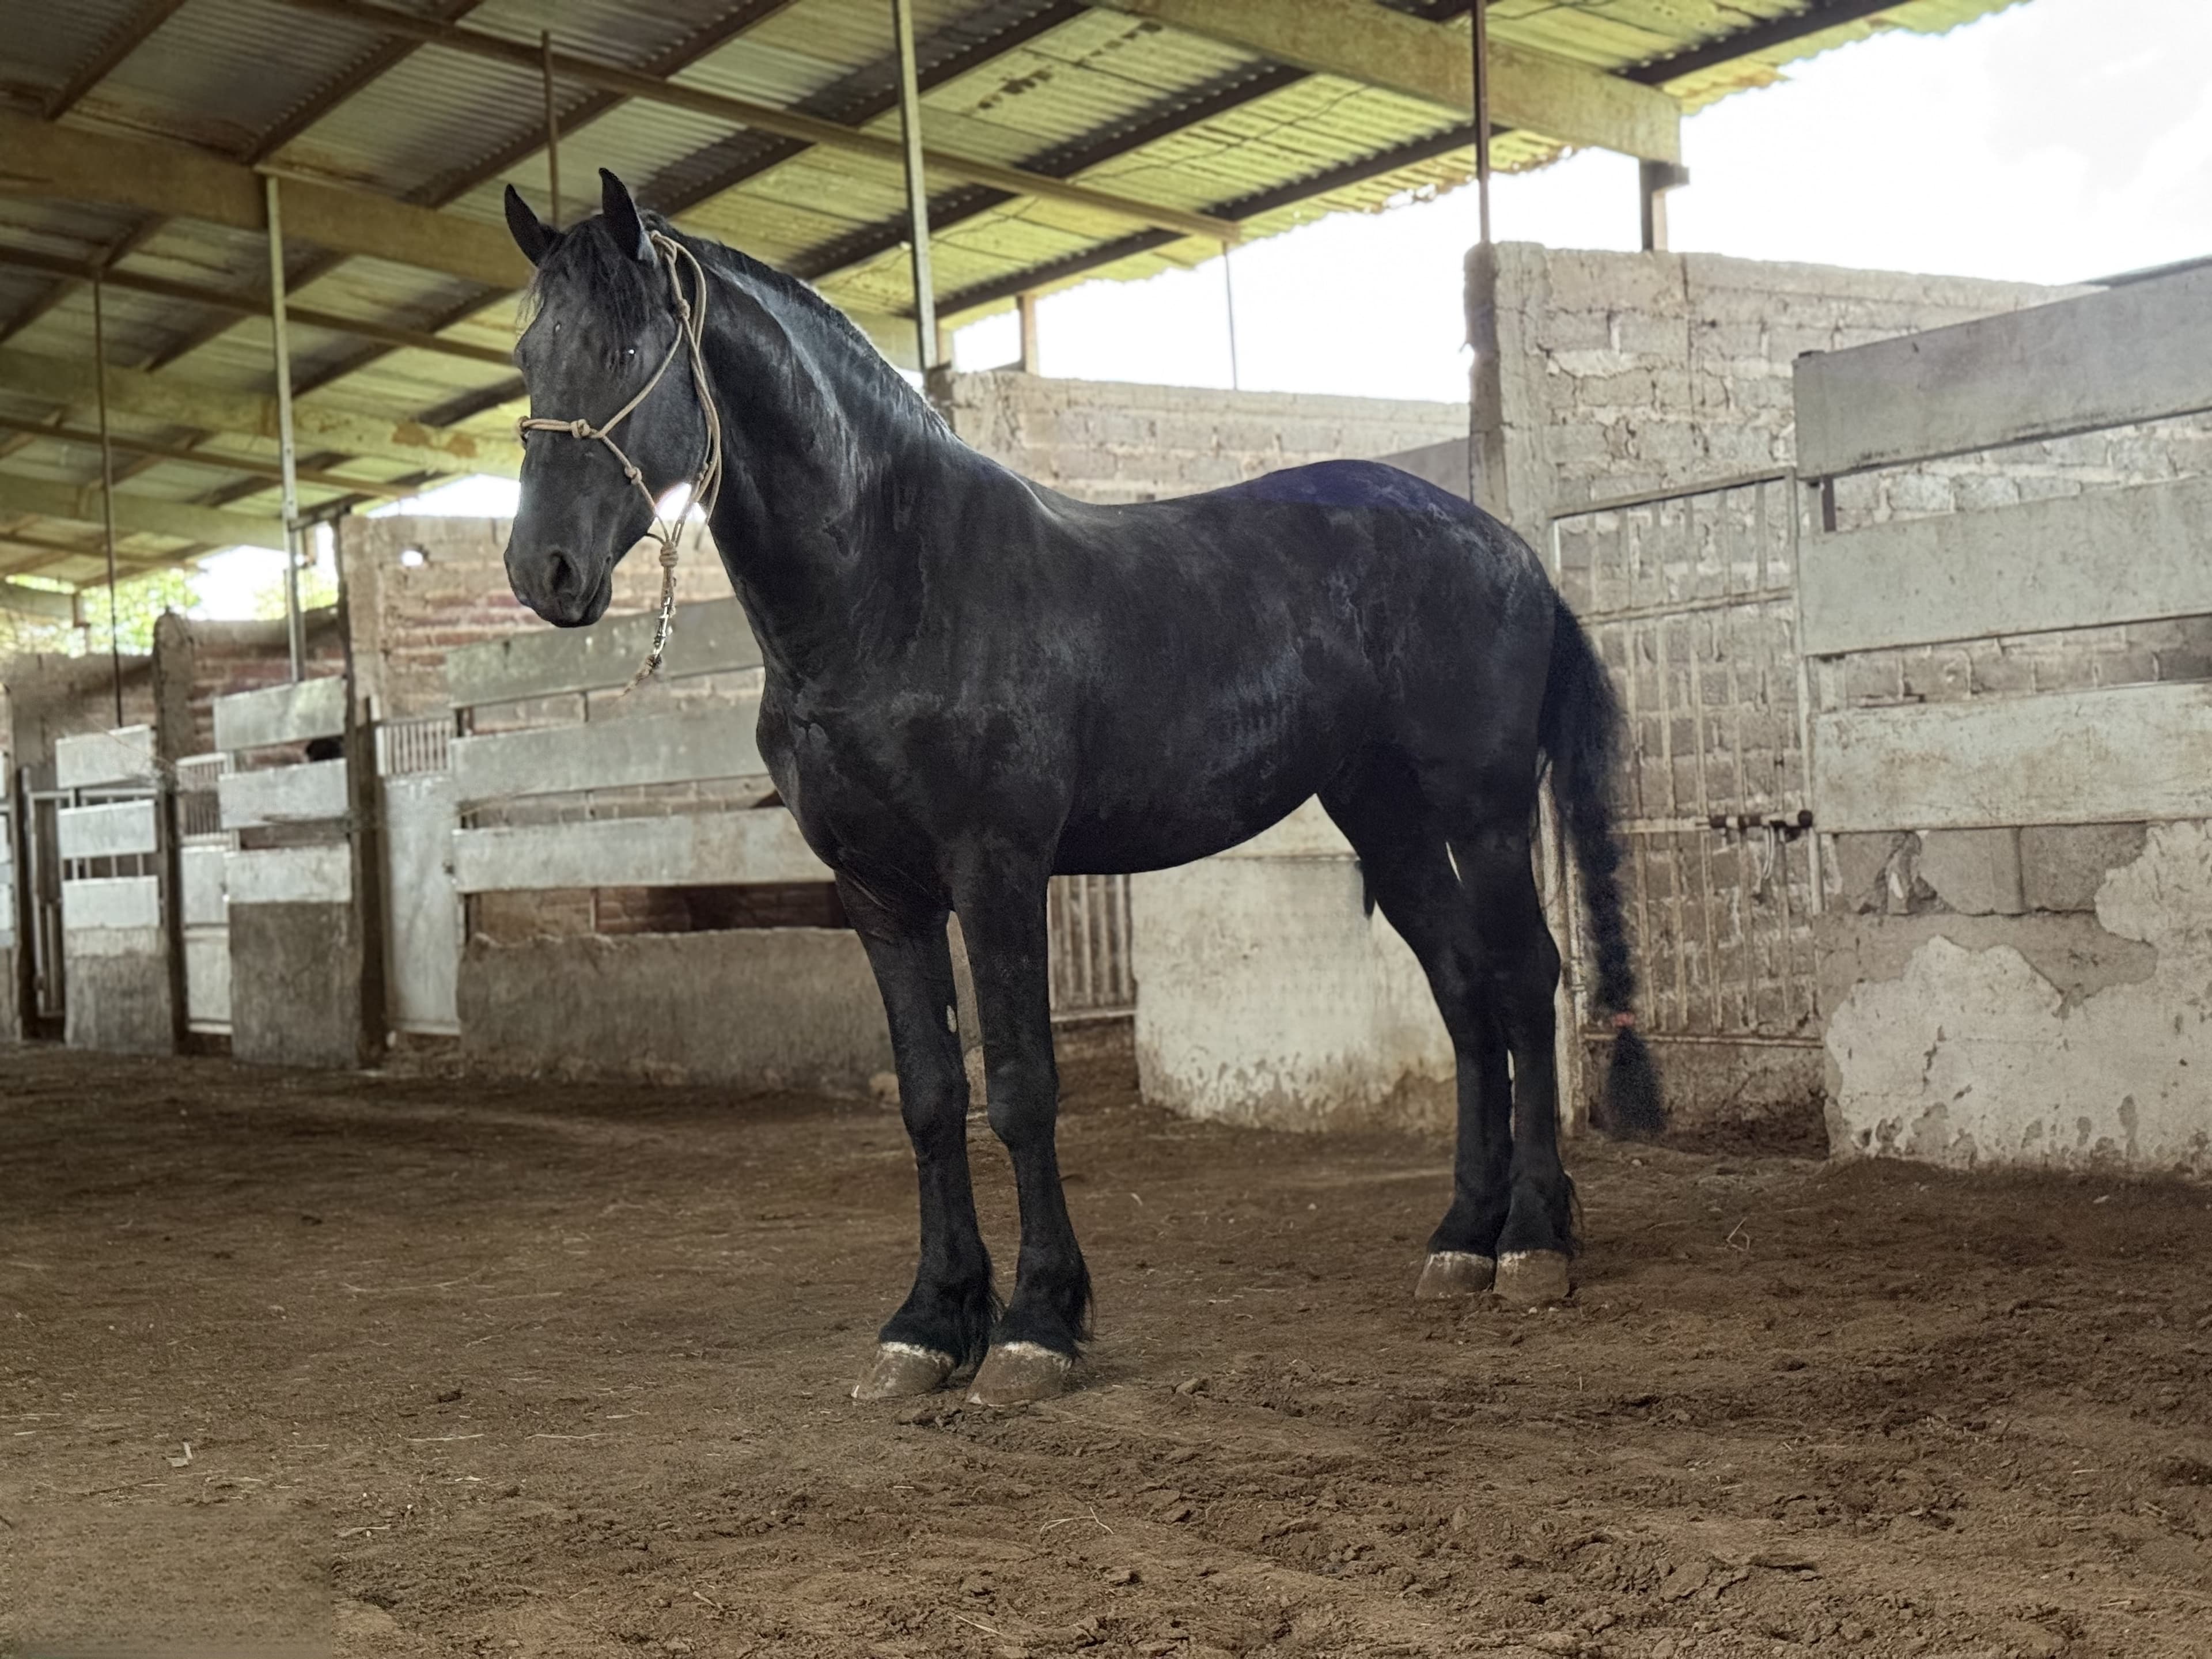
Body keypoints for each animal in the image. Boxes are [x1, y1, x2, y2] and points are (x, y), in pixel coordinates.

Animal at [498, 170, 1662, 1407]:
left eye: (631, 349)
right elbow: (929, 1097)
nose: (544, 572)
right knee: (1462, 992)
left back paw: (1533, 1242)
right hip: (1384, 819)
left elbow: (1019, 1086)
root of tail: (1507, 546)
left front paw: (1035, 1327)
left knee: (1522, 980)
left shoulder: (997, 870)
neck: (894, 588)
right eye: (529, 351)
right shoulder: (879, 892)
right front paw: (928, 1326)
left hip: (1482, 812)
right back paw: (1460, 1240)